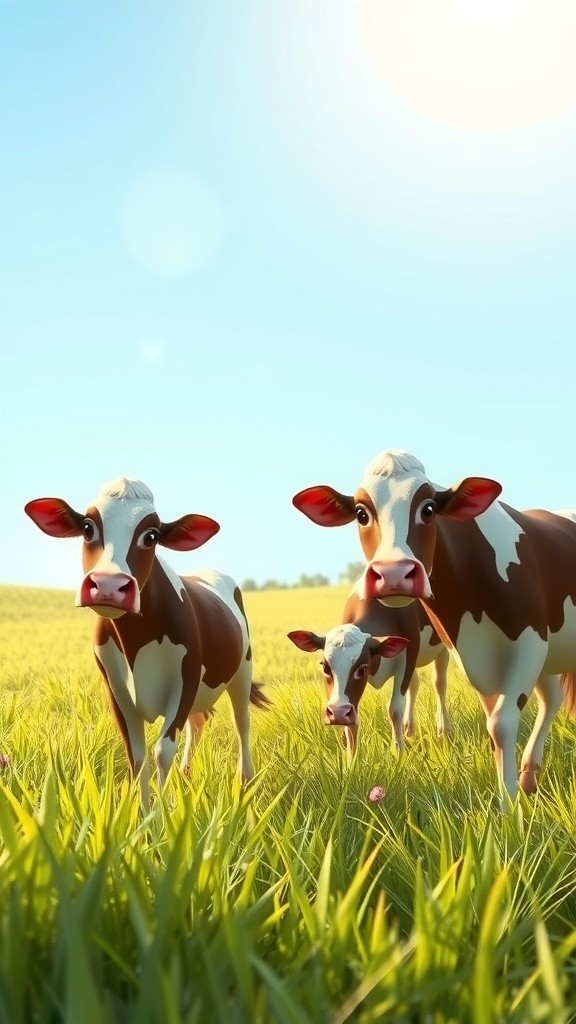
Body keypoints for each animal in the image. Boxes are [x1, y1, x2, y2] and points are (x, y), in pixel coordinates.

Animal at [25, 477, 269, 808]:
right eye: (88, 527)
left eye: (150, 536)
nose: (108, 585)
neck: (137, 641)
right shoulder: (115, 688)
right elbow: (137, 756)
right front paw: (144, 812)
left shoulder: (186, 679)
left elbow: (162, 751)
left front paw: (164, 813)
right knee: (198, 722)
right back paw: (186, 776)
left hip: (242, 670)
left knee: (241, 721)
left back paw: (245, 781)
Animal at [287, 580, 451, 764]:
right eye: (325, 667)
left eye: (362, 669)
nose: (337, 713)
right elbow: (353, 721)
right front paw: (351, 762)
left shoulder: (409, 656)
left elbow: (395, 709)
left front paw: (399, 753)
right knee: (415, 685)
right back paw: (408, 729)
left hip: (442, 646)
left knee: (439, 683)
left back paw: (444, 731)